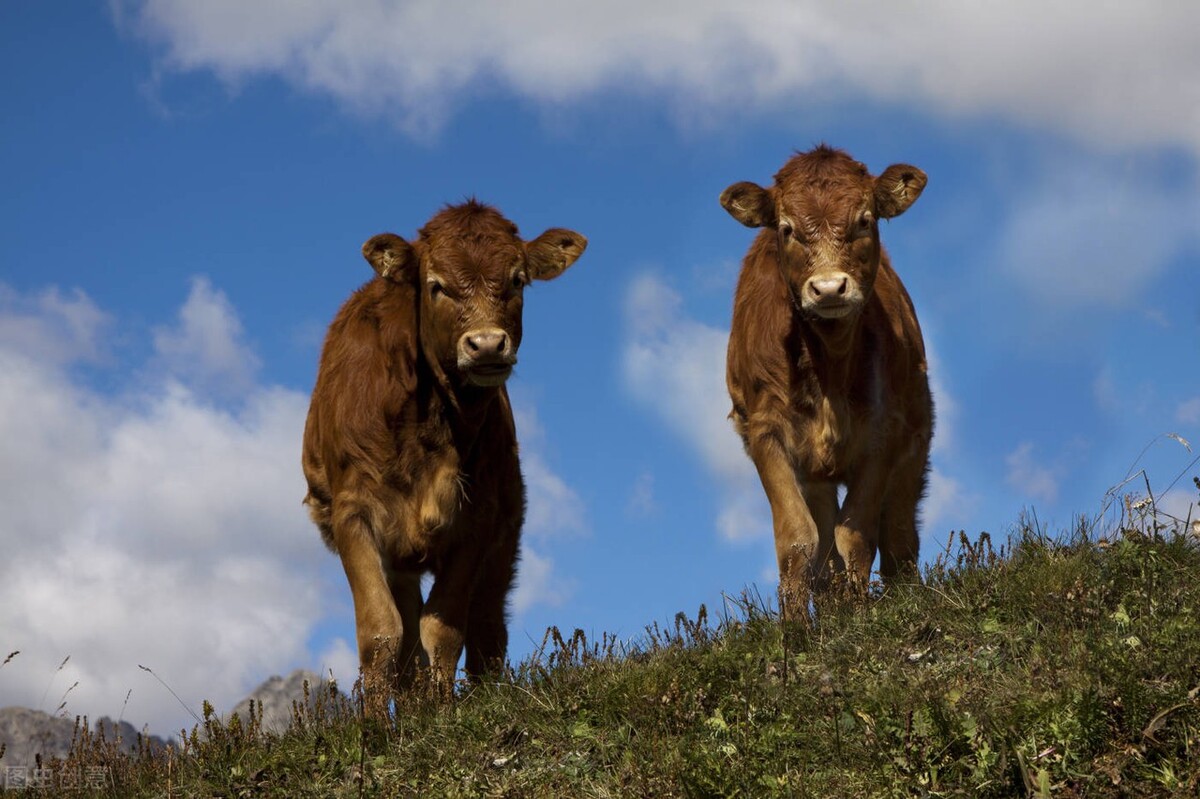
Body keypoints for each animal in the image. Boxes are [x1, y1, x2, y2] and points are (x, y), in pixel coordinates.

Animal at [302, 199, 588, 691]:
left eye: (517, 279)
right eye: (436, 286)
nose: (487, 345)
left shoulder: (477, 520)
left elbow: (443, 630)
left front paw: (445, 707)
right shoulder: (353, 513)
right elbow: (381, 633)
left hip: (504, 538)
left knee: (487, 630)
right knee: (407, 647)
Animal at [715, 146, 931, 619]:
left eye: (864, 220)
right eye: (787, 229)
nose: (829, 289)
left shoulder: (883, 435)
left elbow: (857, 536)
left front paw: (863, 617)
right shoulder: (765, 432)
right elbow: (800, 539)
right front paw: (796, 627)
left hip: (915, 441)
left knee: (899, 538)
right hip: (816, 473)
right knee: (826, 550)